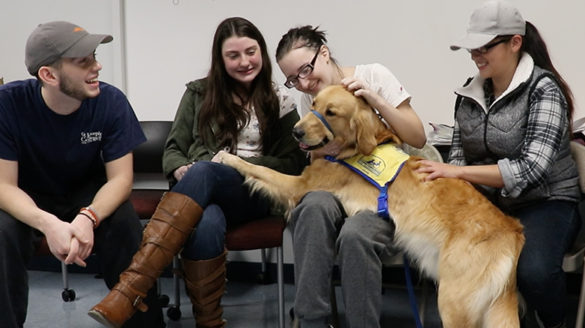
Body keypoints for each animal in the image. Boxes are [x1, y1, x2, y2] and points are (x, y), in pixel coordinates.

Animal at [216, 85, 524, 328]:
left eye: (331, 113)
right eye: (314, 105)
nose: (295, 131)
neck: (354, 148)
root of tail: (513, 231)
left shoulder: (299, 186)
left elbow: (258, 168)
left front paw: (225, 158)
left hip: (453, 302)